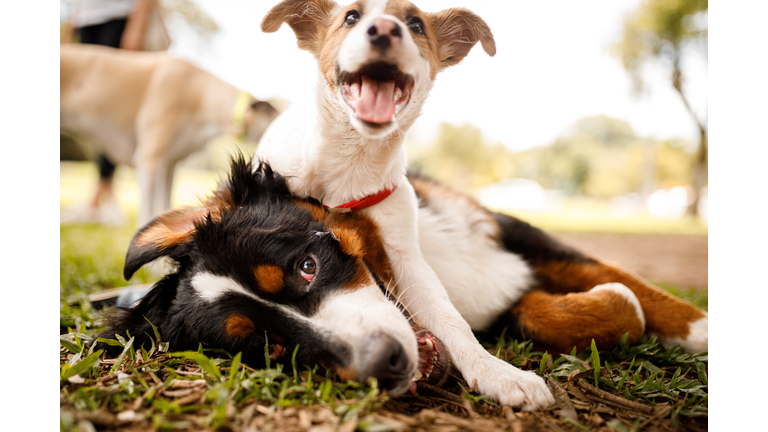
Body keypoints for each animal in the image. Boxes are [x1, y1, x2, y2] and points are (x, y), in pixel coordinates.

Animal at [256, 0, 552, 408]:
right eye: (351, 17)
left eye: (415, 24)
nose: (383, 29)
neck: (351, 163)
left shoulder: (405, 256)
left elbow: (450, 318)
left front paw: (497, 371)